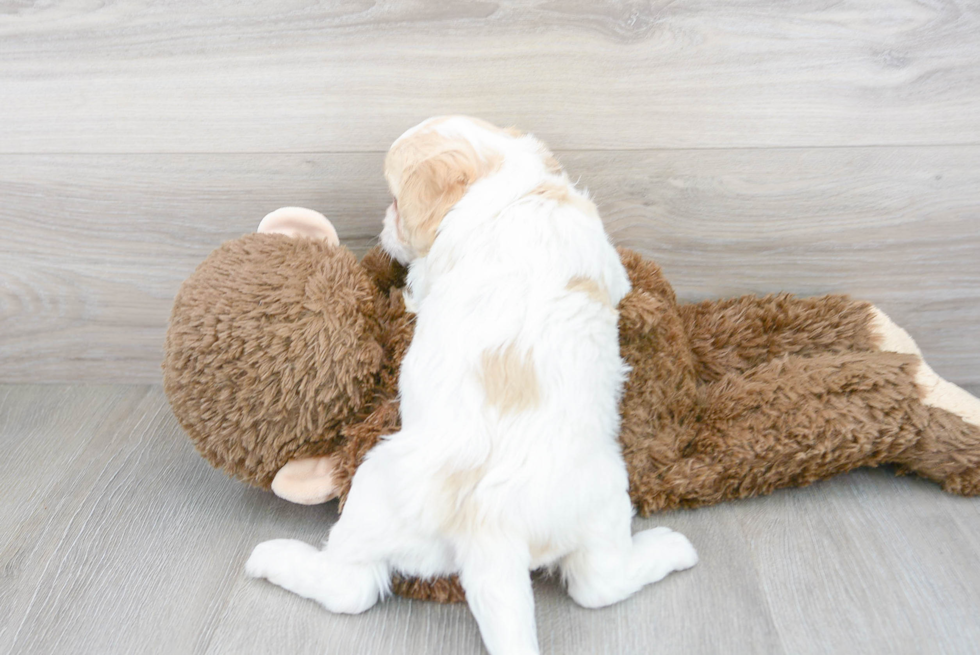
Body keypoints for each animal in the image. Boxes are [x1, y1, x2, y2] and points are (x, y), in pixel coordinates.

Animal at [245, 118, 696, 655]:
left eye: (394, 200)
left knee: (349, 587)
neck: (504, 182)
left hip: (373, 490)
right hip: (602, 501)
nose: (383, 225)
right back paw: (675, 549)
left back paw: (271, 557)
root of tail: (492, 526)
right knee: (599, 583)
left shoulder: (429, 278)